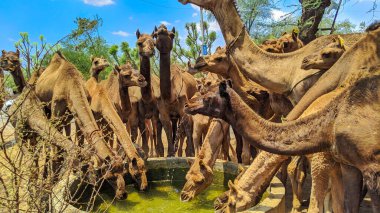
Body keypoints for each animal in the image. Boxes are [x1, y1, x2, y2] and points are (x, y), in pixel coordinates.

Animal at [34, 51, 126, 200]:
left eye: (124, 171)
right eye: (110, 176)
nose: (123, 194)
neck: (72, 85)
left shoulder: (77, 111)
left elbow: (80, 137)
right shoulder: (55, 110)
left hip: (67, 116)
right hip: (45, 107)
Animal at [152, 24, 197, 156]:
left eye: (172, 35)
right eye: (155, 34)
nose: (162, 29)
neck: (170, 95)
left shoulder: (183, 106)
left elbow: (187, 125)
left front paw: (191, 153)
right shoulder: (163, 110)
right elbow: (166, 126)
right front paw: (170, 153)